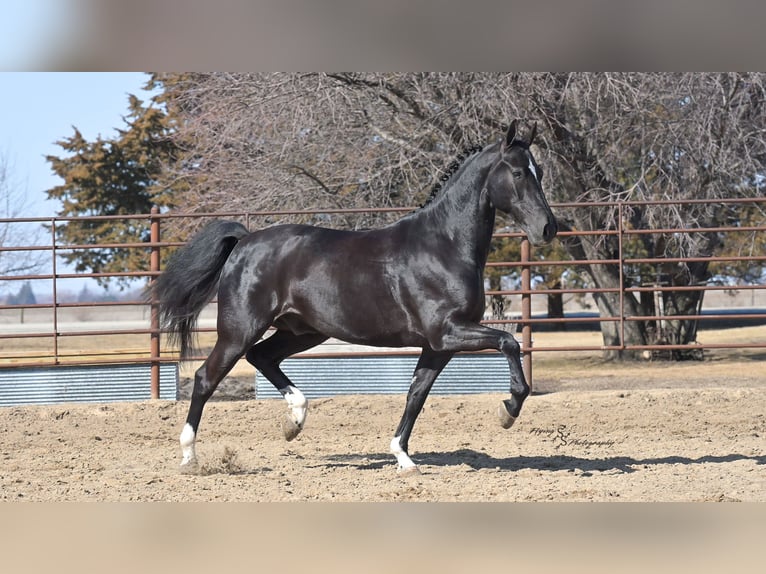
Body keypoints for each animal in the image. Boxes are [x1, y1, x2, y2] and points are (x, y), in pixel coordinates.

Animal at [149, 120, 558, 475]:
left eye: (540, 170)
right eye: (518, 173)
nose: (547, 228)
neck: (444, 246)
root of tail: (245, 241)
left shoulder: (438, 346)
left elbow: (416, 394)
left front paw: (404, 458)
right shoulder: (448, 332)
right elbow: (509, 343)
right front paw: (508, 410)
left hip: (303, 332)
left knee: (261, 357)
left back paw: (295, 420)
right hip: (239, 331)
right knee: (206, 377)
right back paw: (190, 457)